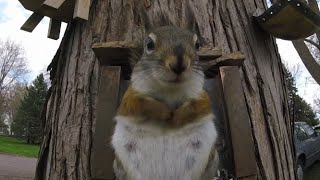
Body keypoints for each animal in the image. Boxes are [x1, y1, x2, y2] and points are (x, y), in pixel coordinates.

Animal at [111, 25, 219, 180]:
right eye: (149, 44)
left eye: (197, 45)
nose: (179, 64)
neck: (170, 90)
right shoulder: (131, 96)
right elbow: (141, 105)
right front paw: (165, 112)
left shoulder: (201, 95)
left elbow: (198, 107)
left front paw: (177, 117)